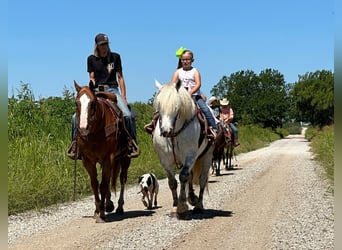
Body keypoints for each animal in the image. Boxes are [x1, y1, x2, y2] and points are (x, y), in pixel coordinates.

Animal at [73, 81, 131, 223]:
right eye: (76, 103)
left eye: (93, 102)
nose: (83, 129)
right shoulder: (88, 160)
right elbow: (95, 184)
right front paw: (98, 210)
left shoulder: (108, 158)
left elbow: (103, 185)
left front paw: (102, 214)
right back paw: (109, 204)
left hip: (125, 158)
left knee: (122, 179)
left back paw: (119, 207)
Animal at [152, 80, 214, 219]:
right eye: (159, 106)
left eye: (177, 107)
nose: (166, 131)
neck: (174, 134)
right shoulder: (165, 160)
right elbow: (172, 182)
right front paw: (175, 206)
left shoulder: (190, 156)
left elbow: (183, 177)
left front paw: (181, 208)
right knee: (191, 177)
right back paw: (191, 198)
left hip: (207, 156)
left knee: (202, 180)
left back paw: (198, 205)